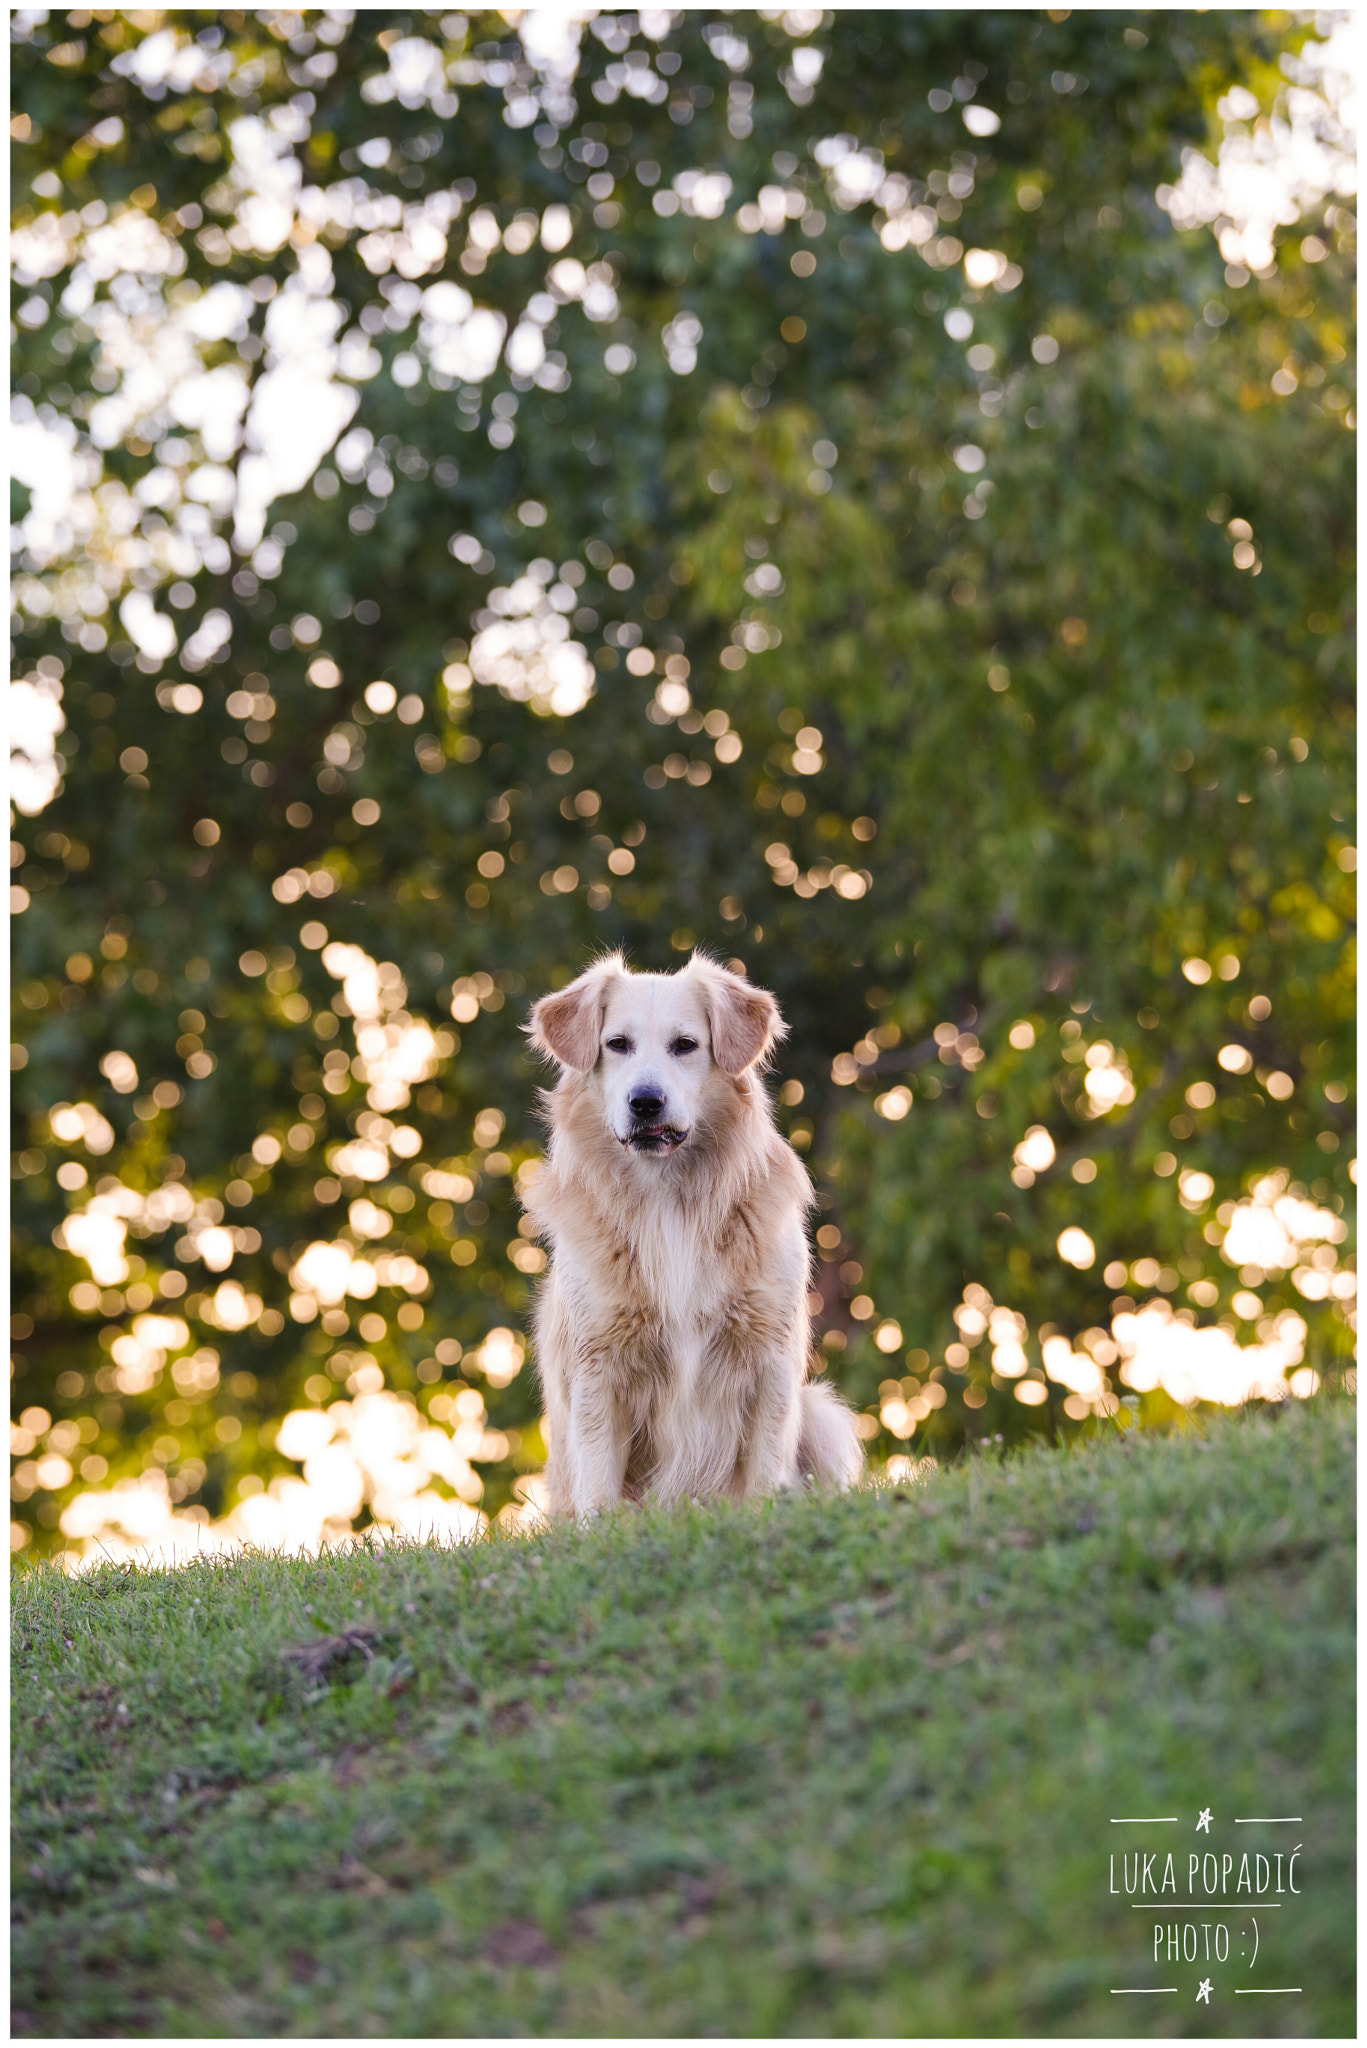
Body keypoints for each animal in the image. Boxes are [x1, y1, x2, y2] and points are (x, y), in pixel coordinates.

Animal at [518, 950, 860, 1515]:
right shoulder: (599, 1364)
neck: (668, 1198)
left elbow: (764, 1467)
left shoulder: (770, 1356)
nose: (645, 1101)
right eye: (617, 1044)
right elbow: (599, 1483)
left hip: (822, 1413)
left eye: (685, 1045)